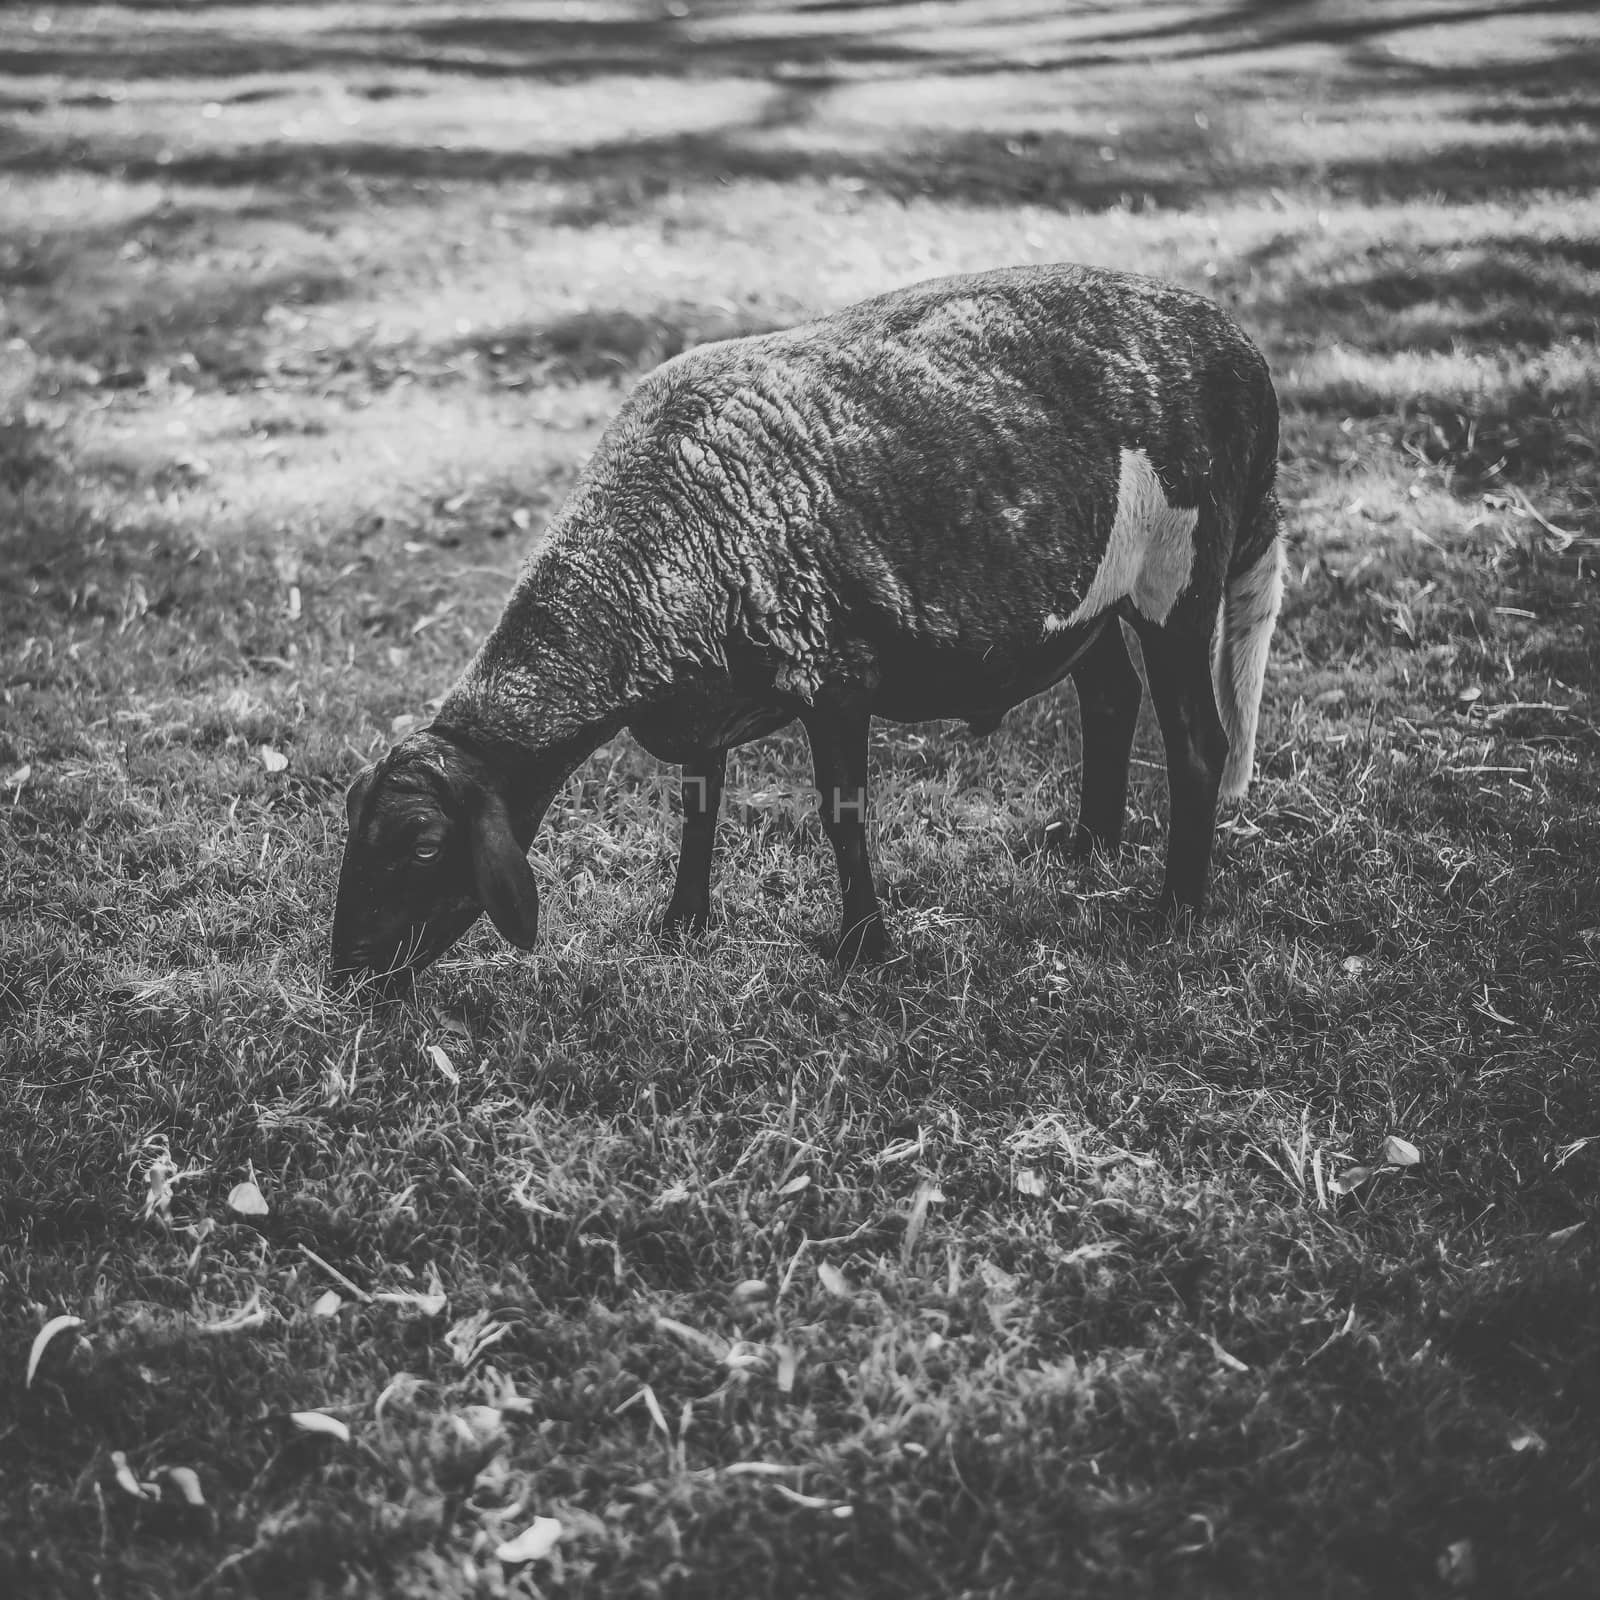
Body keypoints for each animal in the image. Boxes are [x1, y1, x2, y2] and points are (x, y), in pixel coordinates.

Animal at [328, 264, 1286, 992]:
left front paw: (867, 946)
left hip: (1179, 576)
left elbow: (842, 815)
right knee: (1110, 696)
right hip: (1089, 595)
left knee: (1198, 742)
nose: (349, 976)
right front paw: (683, 920)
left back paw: (1174, 912)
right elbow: (699, 804)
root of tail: (1240, 349)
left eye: (423, 847)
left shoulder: (835, 676)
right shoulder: (703, 696)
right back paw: (1087, 846)